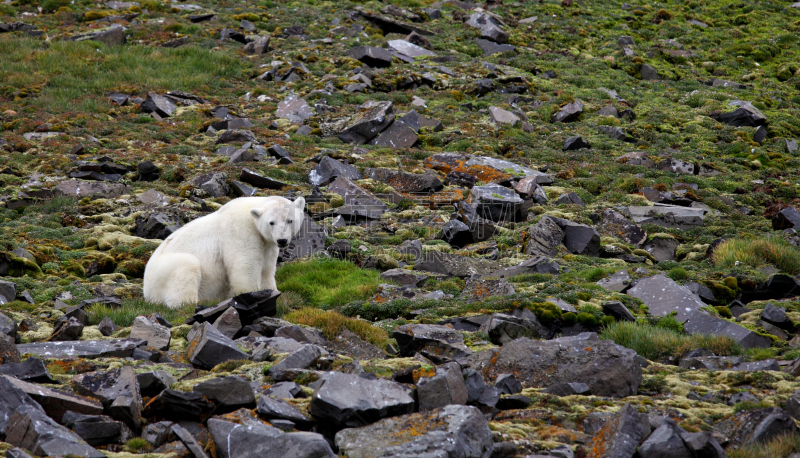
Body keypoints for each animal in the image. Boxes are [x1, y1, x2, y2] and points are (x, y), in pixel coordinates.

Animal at [144, 196, 306, 308]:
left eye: (290, 220)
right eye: (271, 222)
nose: (282, 240)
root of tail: (146, 291)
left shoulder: (268, 244)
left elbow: (266, 269)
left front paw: (273, 292)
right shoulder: (240, 230)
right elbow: (245, 265)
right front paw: (253, 295)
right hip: (164, 271)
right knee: (187, 267)